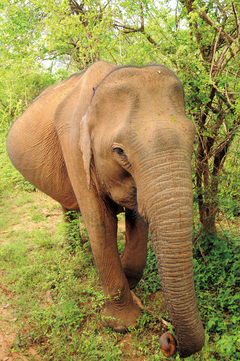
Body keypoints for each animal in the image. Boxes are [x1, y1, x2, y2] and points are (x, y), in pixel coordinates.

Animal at [7, 62, 206, 358]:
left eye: (193, 140)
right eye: (119, 151)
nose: (168, 339)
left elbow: (137, 217)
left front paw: (129, 278)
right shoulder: (73, 146)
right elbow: (101, 222)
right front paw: (122, 324)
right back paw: (74, 251)